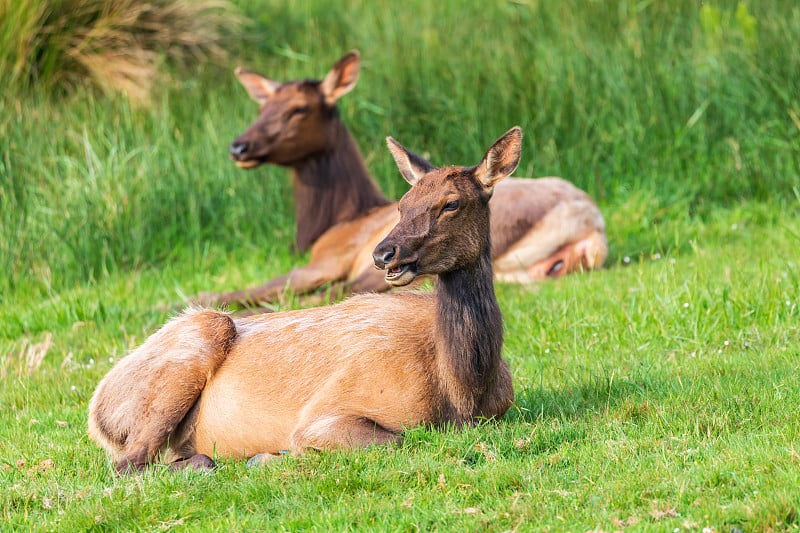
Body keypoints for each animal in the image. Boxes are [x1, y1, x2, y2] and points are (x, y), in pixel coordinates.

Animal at [89, 127, 524, 472]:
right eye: (402, 204)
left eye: (451, 203)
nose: (384, 253)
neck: (464, 391)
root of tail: (98, 412)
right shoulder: (324, 413)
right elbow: (394, 440)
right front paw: (272, 455)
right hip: (196, 339)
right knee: (128, 464)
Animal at [195, 51, 608, 308]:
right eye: (262, 107)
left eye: (298, 109)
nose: (239, 146)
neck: (332, 223)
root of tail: (592, 225)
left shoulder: (328, 260)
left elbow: (263, 286)